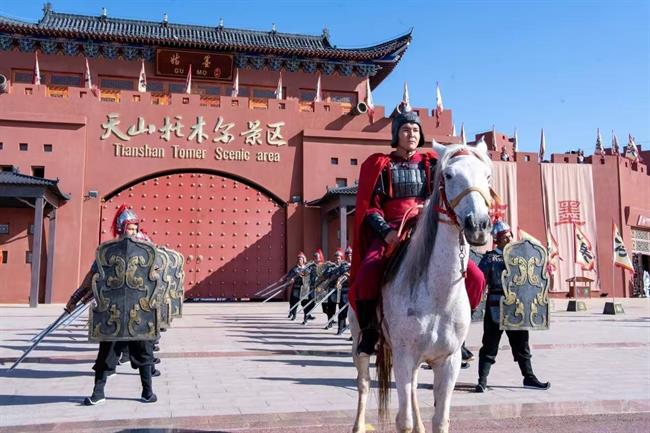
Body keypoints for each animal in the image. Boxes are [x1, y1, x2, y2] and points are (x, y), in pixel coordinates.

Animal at [350, 138, 494, 433]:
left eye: (487, 176)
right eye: (448, 175)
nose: (478, 225)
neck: (438, 296)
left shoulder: (448, 362)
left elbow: (441, 420)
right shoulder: (404, 356)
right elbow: (402, 421)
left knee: (414, 387)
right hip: (360, 338)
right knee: (364, 383)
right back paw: (358, 425)